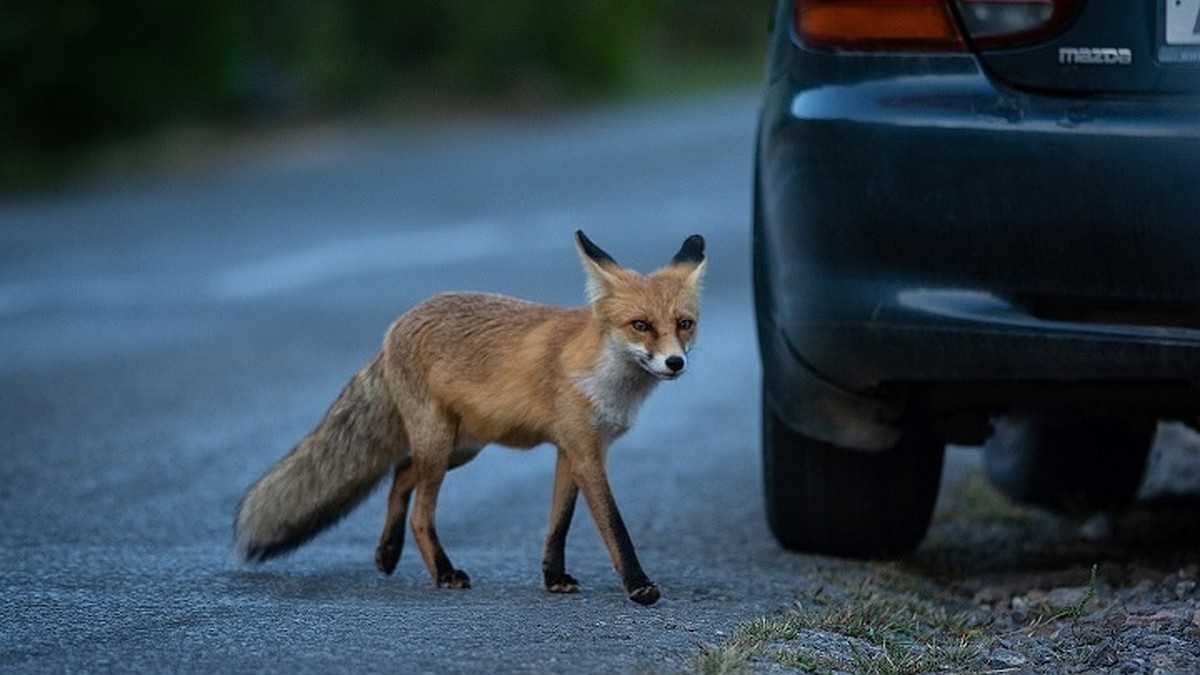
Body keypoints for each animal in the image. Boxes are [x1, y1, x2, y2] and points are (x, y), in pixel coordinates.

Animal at [234, 230, 700, 605]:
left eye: (684, 324)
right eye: (640, 325)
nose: (675, 363)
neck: (603, 377)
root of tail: (394, 328)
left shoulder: (574, 450)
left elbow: (558, 525)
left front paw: (553, 577)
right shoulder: (585, 452)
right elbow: (614, 526)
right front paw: (638, 587)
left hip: (460, 447)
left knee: (401, 473)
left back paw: (388, 553)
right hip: (441, 443)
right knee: (420, 511)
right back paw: (442, 572)